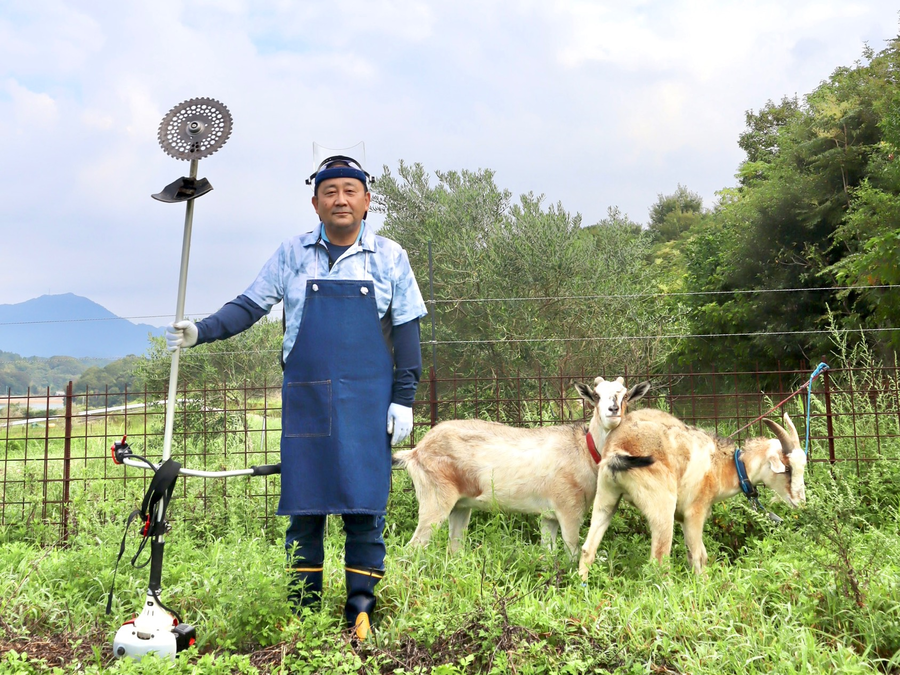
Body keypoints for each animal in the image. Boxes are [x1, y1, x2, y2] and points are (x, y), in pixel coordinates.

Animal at [394, 378, 648, 556]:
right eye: (596, 395)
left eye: (625, 395)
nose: (613, 410)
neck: (583, 450)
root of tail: (416, 451)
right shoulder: (569, 510)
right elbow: (572, 551)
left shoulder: (549, 516)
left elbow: (548, 553)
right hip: (435, 500)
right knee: (412, 548)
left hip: (460, 506)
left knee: (454, 548)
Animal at [580, 404, 804, 580]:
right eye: (787, 469)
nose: (800, 501)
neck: (722, 466)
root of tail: (618, 450)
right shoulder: (694, 512)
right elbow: (698, 555)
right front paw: (703, 586)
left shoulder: (682, 517)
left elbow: (697, 554)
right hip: (662, 507)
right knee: (659, 559)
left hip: (606, 497)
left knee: (588, 549)